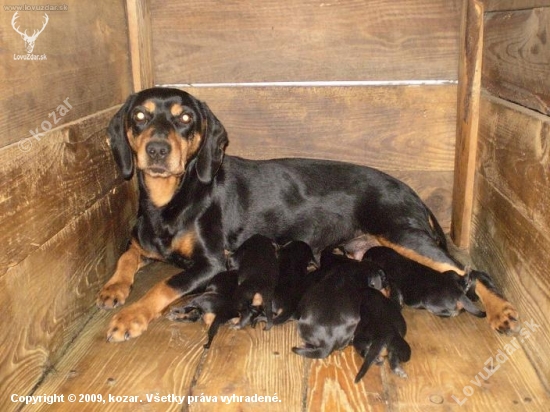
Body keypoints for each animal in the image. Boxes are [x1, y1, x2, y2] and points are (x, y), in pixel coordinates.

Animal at [98, 87, 520, 342]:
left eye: (185, 118)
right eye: (140, 116)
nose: (156, 150)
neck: (171, 198)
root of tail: (410, 191)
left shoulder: (211, 262)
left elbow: (164, 285)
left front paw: (131, 317)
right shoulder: (143, 240)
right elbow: (127, 254)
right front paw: (113, 288)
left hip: (402, 233)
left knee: (464, 270)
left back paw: (501, 310)